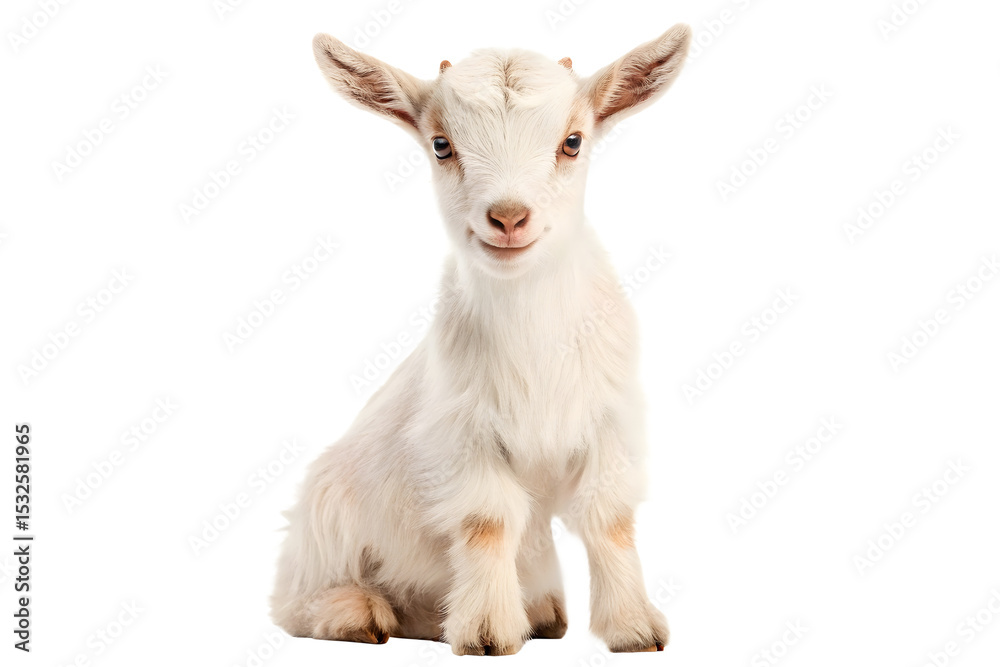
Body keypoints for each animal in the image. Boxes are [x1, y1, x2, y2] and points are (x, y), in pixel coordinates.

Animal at [271, 24, 692, 656]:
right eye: (442, 145)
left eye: (573, 141)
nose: (509, 217)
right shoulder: (465, 433)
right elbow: (486, 522)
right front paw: (489, 633)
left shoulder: (609, 422)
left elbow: (609, 518)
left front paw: (635, 628)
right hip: (322, 527)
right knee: (294, 603)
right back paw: (356, 613)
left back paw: (531, 612)